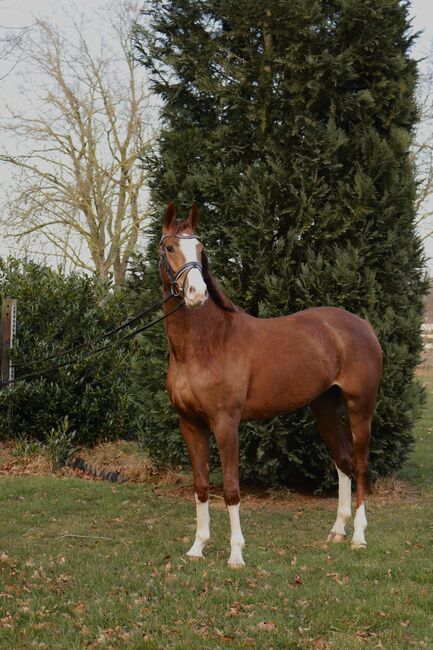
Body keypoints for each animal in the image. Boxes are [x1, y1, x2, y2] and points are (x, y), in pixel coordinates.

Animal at [159, 201, 382, 560]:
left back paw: (359, 536)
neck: (205, 345)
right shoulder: (190, 424)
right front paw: (198, 546)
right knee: (343, 461)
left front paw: (236, 554)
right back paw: (337, 531)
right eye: (169, 248)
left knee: (360, 465)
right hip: (325, 408)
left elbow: (231, 489)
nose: (197, 293)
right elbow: (201, 486)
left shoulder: (225, 423)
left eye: (200, 248)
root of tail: (363, 326)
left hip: (360, 408)